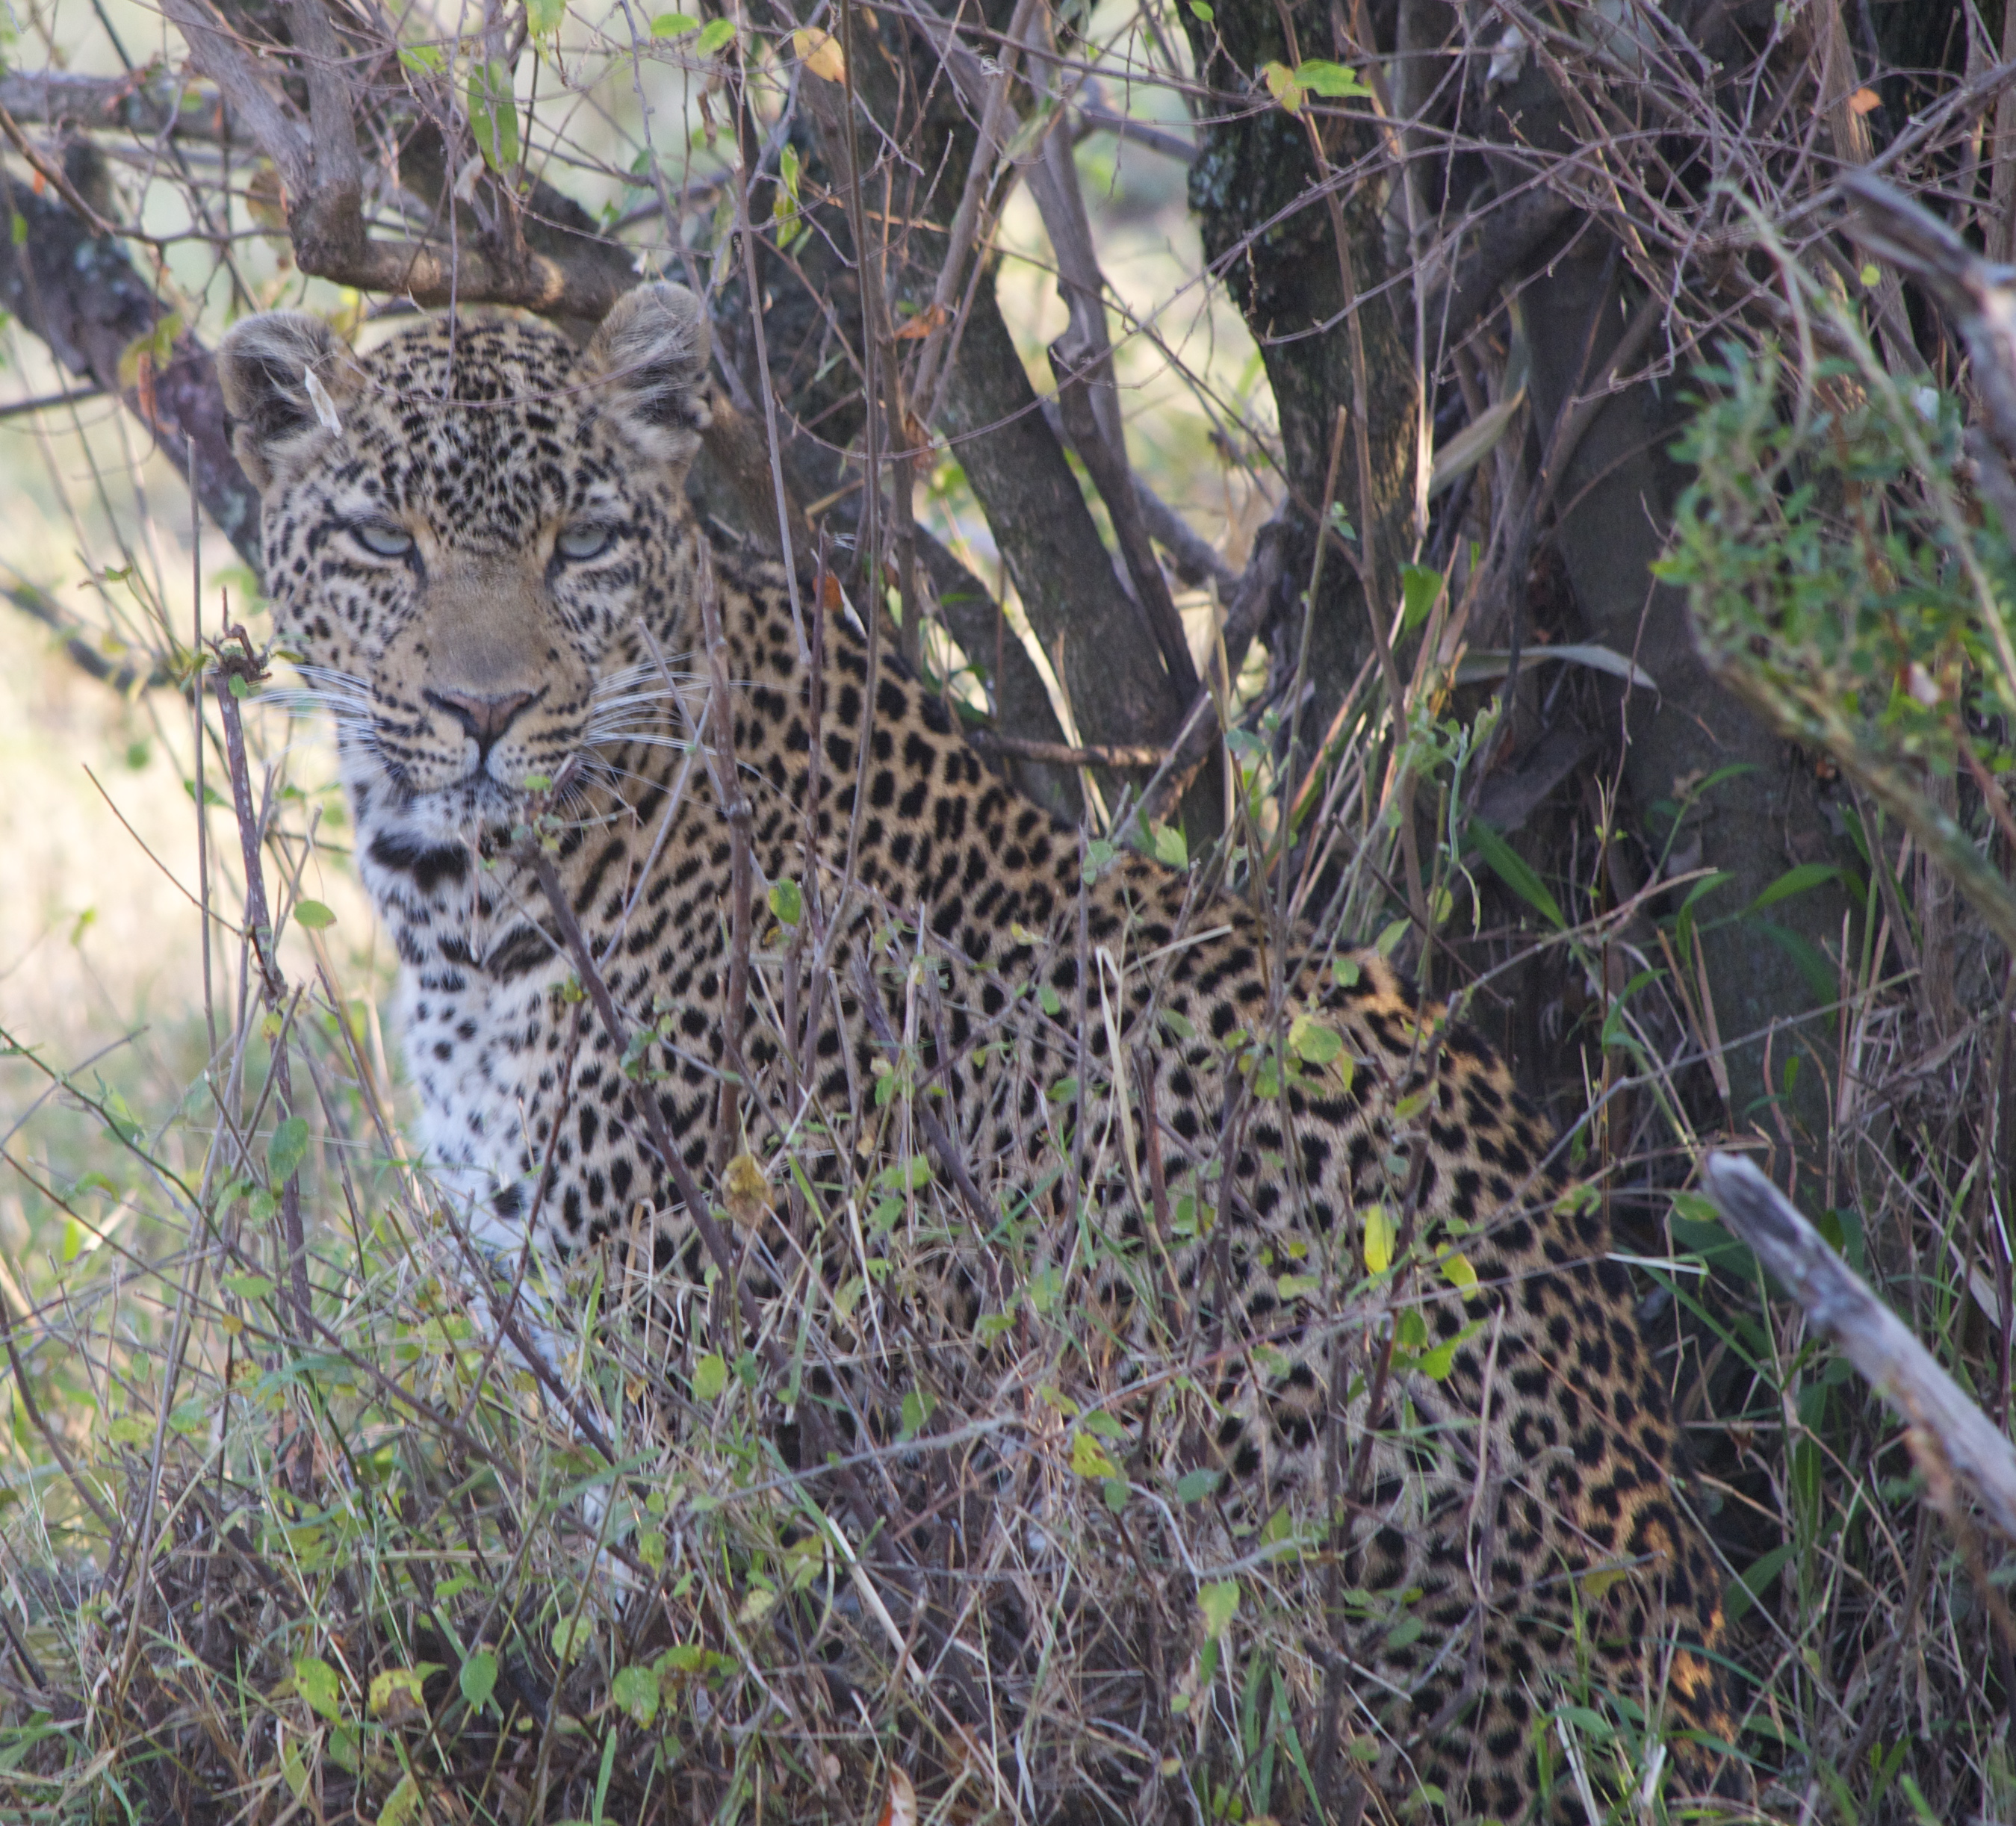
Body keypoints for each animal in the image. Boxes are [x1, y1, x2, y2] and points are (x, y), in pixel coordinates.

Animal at [217, 283, 1756, 1822]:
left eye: (580, 542)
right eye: (384, 540)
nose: (484, 715)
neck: (467, 906)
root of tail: (1684, 1681)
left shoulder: (709, 1387)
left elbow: (671, 1648)